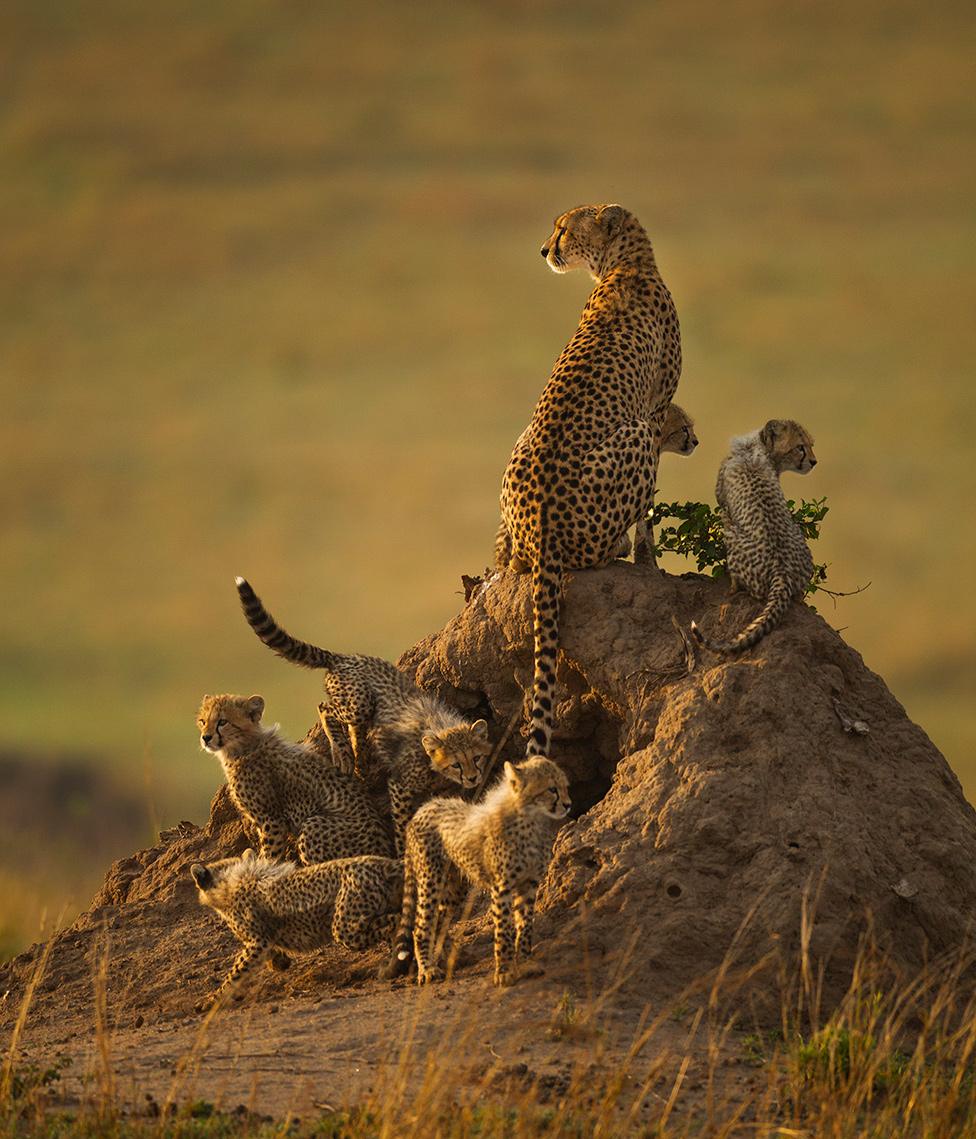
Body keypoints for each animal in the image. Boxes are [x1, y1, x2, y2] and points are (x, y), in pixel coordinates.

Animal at [503, 205, 678, 756]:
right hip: (636, 435)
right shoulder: (655, 411)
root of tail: (542, 529)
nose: (544, 249)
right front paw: (648, 559)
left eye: (563, 228)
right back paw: (617, 549)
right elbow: (650, 511)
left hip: (518, 447)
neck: (626, 265)